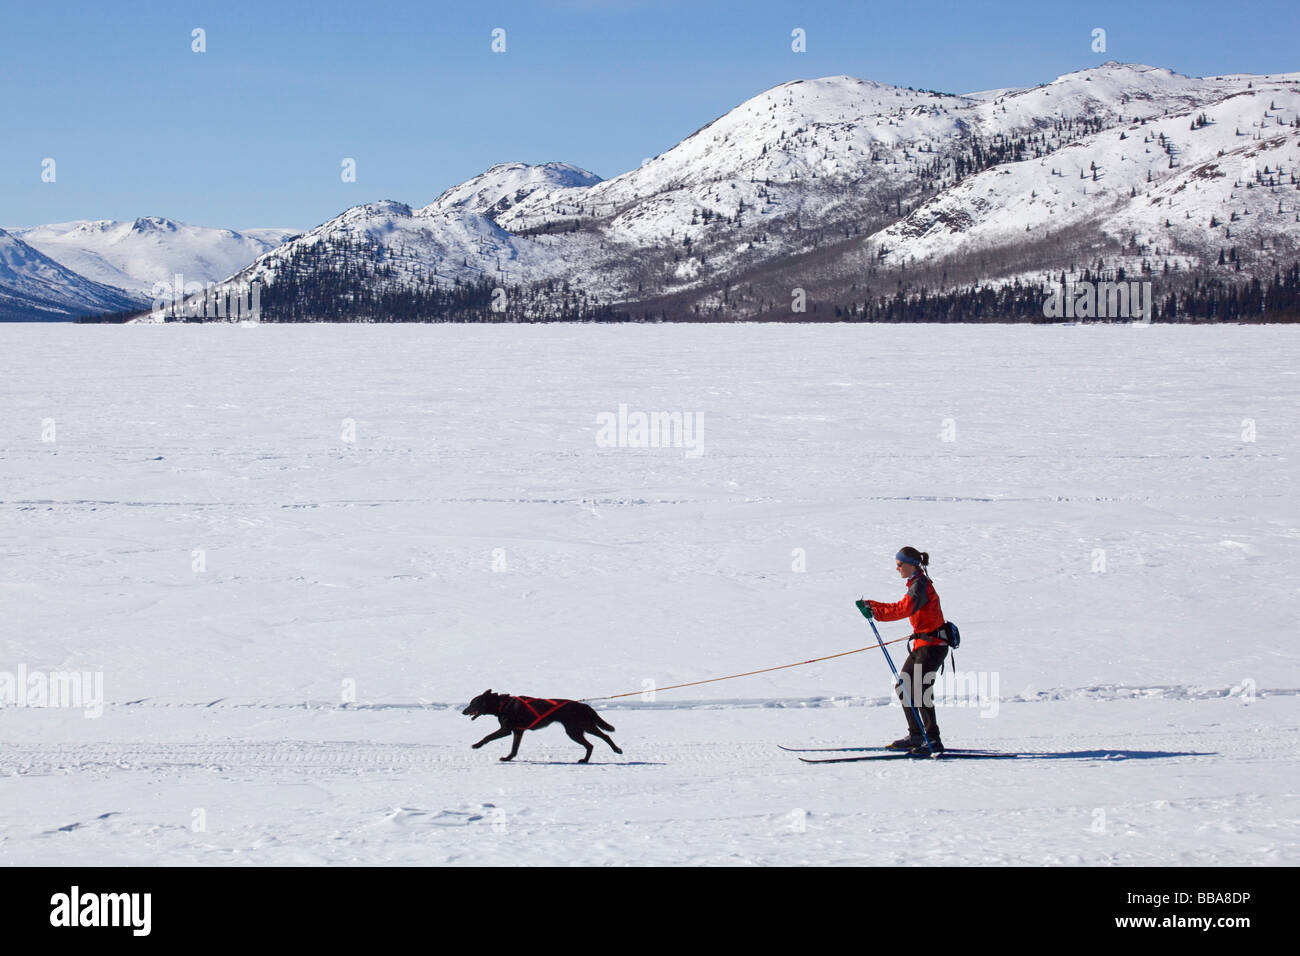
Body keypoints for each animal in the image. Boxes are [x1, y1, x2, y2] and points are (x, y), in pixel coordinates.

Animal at [462, 686, 624, 764]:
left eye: (473, 703)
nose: (463, 711)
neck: (502, 704)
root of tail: (584, 706)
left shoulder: (506, 729)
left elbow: (487, 736)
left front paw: (476, 745)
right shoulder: (518, 732)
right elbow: (514, 749)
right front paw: (508, 758)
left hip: (577, 729)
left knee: (604, 737)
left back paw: (616, 750)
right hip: (579, 729)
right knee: (592, 744)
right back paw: (585, 760)